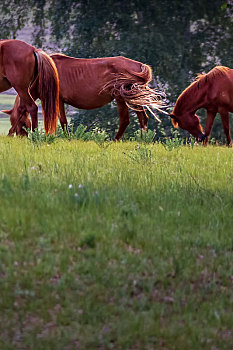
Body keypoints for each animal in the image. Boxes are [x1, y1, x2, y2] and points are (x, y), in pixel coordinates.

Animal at [4, 53, 164, 139]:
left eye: (22, 122)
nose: (16, 137)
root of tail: (139, 65)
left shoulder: (58, 100)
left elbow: (63, 121)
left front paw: (67, 138)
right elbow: (63, 121)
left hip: (121, 97)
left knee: (125, 120)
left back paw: (115, 140)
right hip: (131, 97)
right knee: (143, 118)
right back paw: (143, 139)